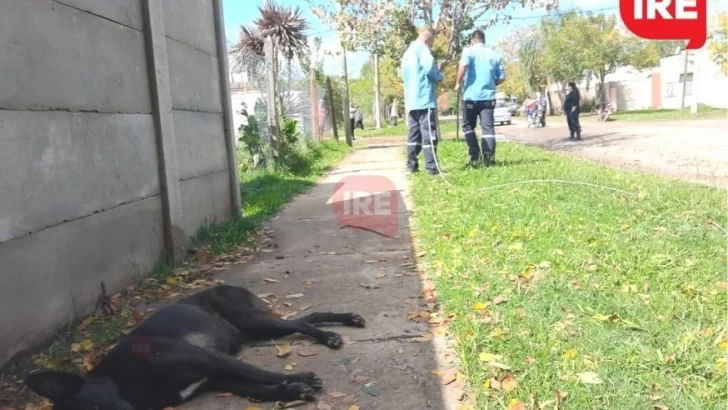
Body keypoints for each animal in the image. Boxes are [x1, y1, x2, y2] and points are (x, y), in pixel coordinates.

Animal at [25, 286, 366, 410]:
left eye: (95, 408)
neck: (125, 382)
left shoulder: (209, 359)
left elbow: (260, 373)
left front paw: (303, 378)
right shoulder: (215, 378)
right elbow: (258, 388)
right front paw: (294, 390)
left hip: (249, 319)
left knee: (302, 324)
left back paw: (332, 334)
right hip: (253, 329)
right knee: (305, 319)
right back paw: (343, 321)